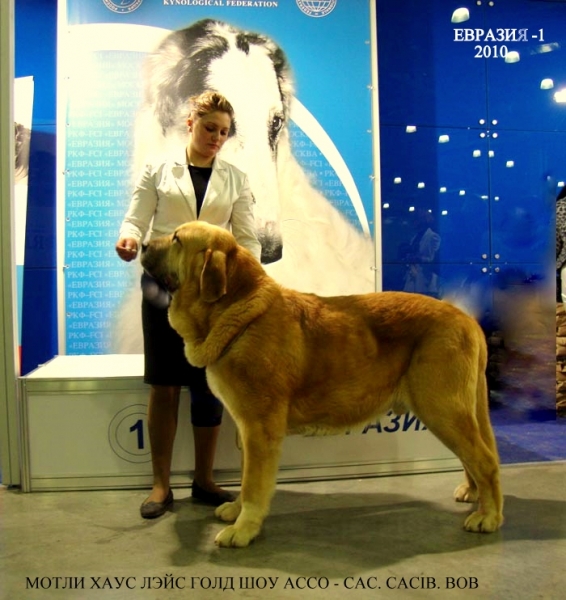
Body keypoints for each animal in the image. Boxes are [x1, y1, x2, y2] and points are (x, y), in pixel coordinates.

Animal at [142, 221, 506, 548]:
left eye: (176, 239)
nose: (142, 245)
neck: (238, 311)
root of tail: (467, 319)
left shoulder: (260, 429)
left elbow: (254, 484)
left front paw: (243, 529)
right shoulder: (247, 430)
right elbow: (245, 477)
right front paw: (236, 511)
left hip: (442, 410)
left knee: (486, 460)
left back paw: (489, 516)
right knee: (476, 457)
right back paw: (474, 494)